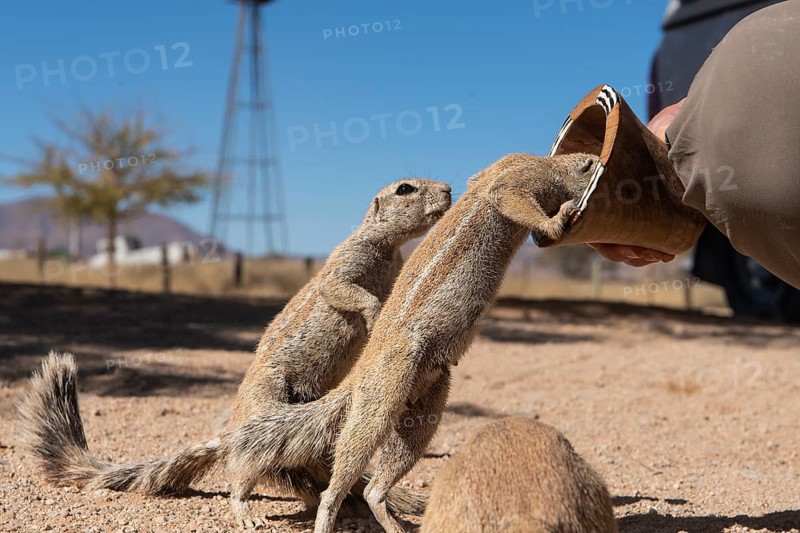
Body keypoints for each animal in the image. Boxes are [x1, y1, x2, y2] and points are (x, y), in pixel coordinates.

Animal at [18, 179, 452, 525]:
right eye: (405, 188)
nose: (448, 190)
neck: (389, 249)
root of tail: (233, 430)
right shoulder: (348, 261)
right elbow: (342, 288)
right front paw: (375, 313)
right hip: (266, 415)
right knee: (244, 476)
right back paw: (247, 512)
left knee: (303, 478)